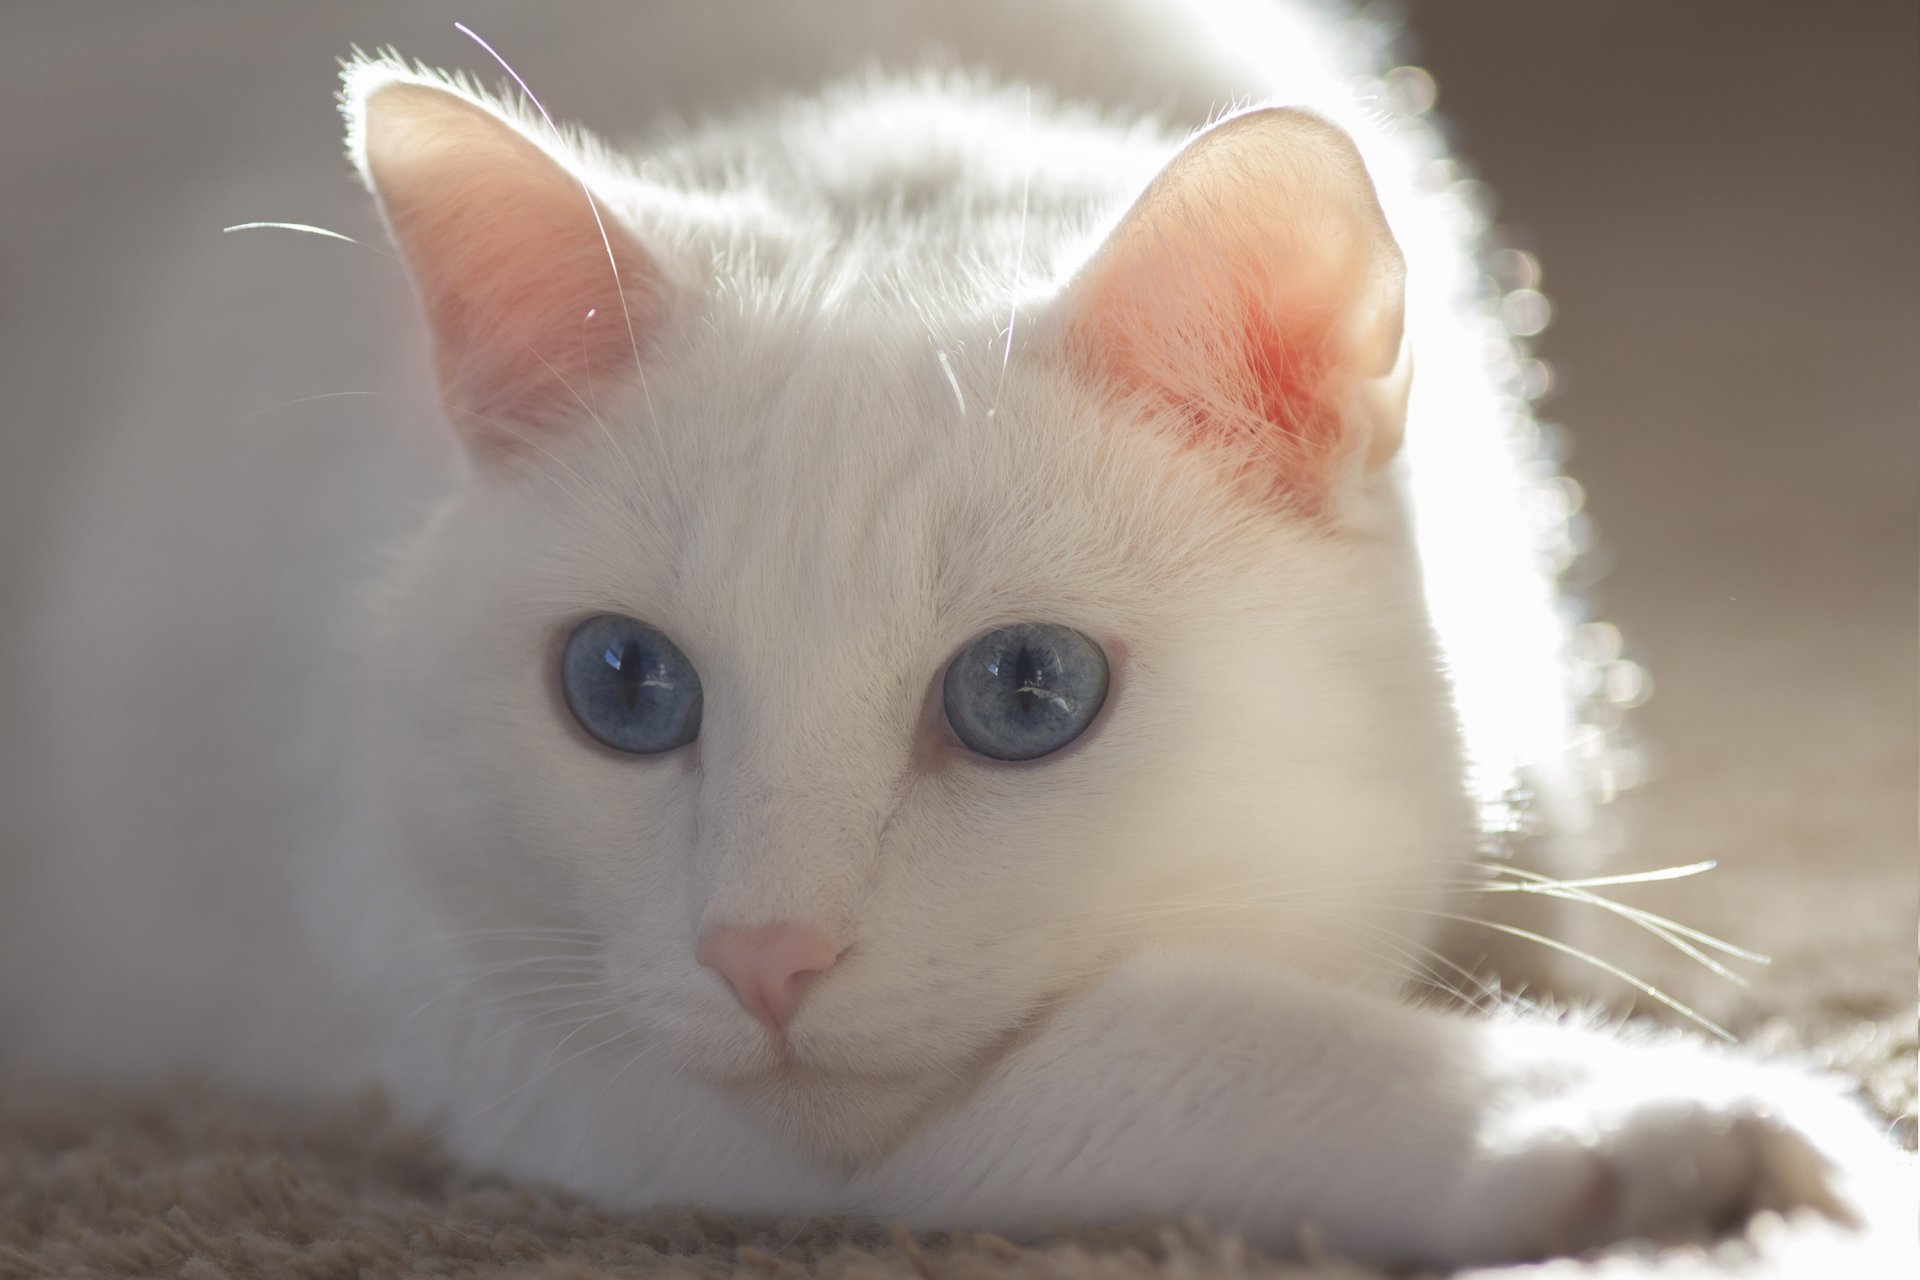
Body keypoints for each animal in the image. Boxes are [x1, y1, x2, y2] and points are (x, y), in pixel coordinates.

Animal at [0, 0, 1889, 1266]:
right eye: (623, 686)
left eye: (1024, 692)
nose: (761, 955)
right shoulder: (543, 1049)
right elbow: (1183, 1037)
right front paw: (1644, 1118)